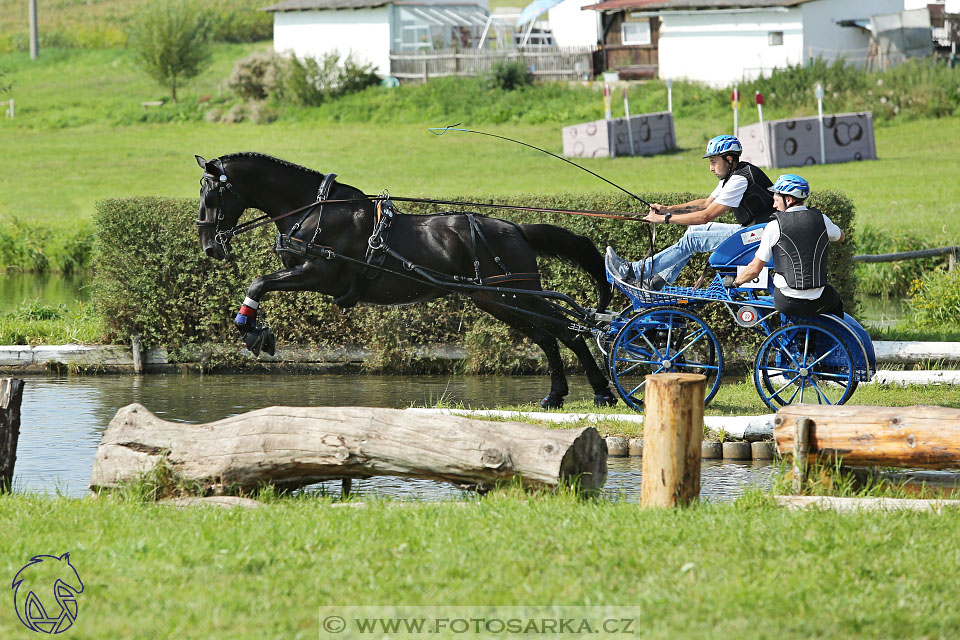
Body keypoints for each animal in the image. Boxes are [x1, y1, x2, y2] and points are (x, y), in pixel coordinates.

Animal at [195, 152, 616, 408]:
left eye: (212, 195)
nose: (209, 247)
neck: (314, 211)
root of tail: (516, 228)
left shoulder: (317, 273)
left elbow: (258, 283)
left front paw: (252, 331)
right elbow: (262, 283)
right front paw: (256, 330)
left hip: (518, 294)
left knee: (570, 332)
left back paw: (602, 392)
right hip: (496, 300)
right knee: (547, 337)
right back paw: (555, 396)